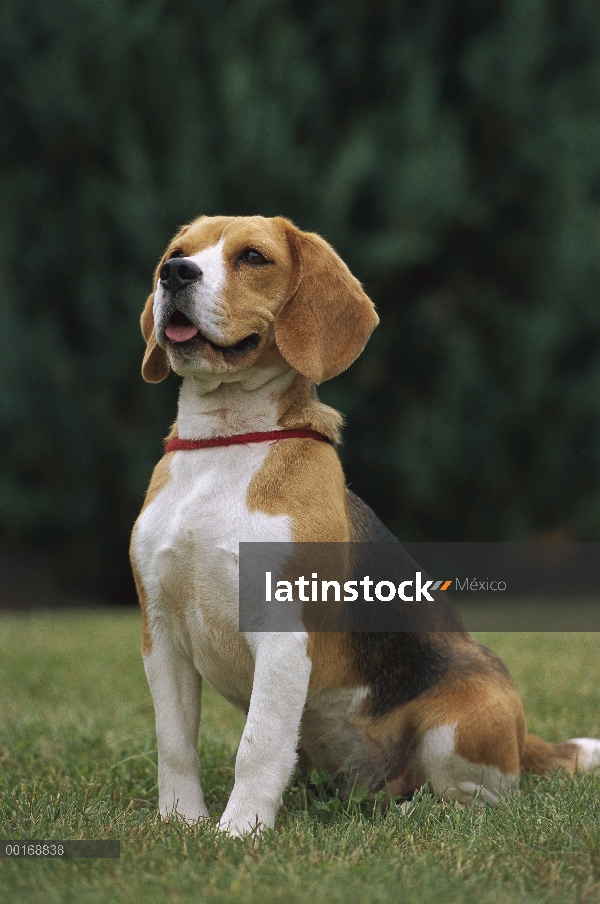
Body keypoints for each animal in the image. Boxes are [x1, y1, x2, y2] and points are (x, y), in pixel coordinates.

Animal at [131, 215, 600, 836]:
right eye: (178, 252)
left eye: (253, 257)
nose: (174, 273)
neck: (225, 444)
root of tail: (525, 740)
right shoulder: (161, 632)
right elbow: (174, 743)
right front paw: (181, 824)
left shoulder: (282, 635)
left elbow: (256, 746)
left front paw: (238, 834)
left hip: (464, 722)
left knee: (479, 801)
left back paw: (415, 815)